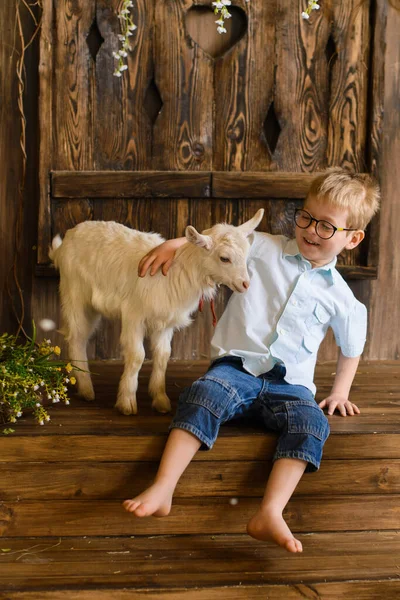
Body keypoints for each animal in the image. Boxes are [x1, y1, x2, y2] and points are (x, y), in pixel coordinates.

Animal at [49, 212, 262, 418]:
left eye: (246, 255)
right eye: (224, 258)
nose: (245, 284)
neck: (174, 274)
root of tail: (65, 242)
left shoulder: (165, 322)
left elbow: (162, 356)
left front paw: (160, 400)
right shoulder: (134, 315)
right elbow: (137, 356)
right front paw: (126, 402)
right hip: (75, 293)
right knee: (77, 337)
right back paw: (86, 389)